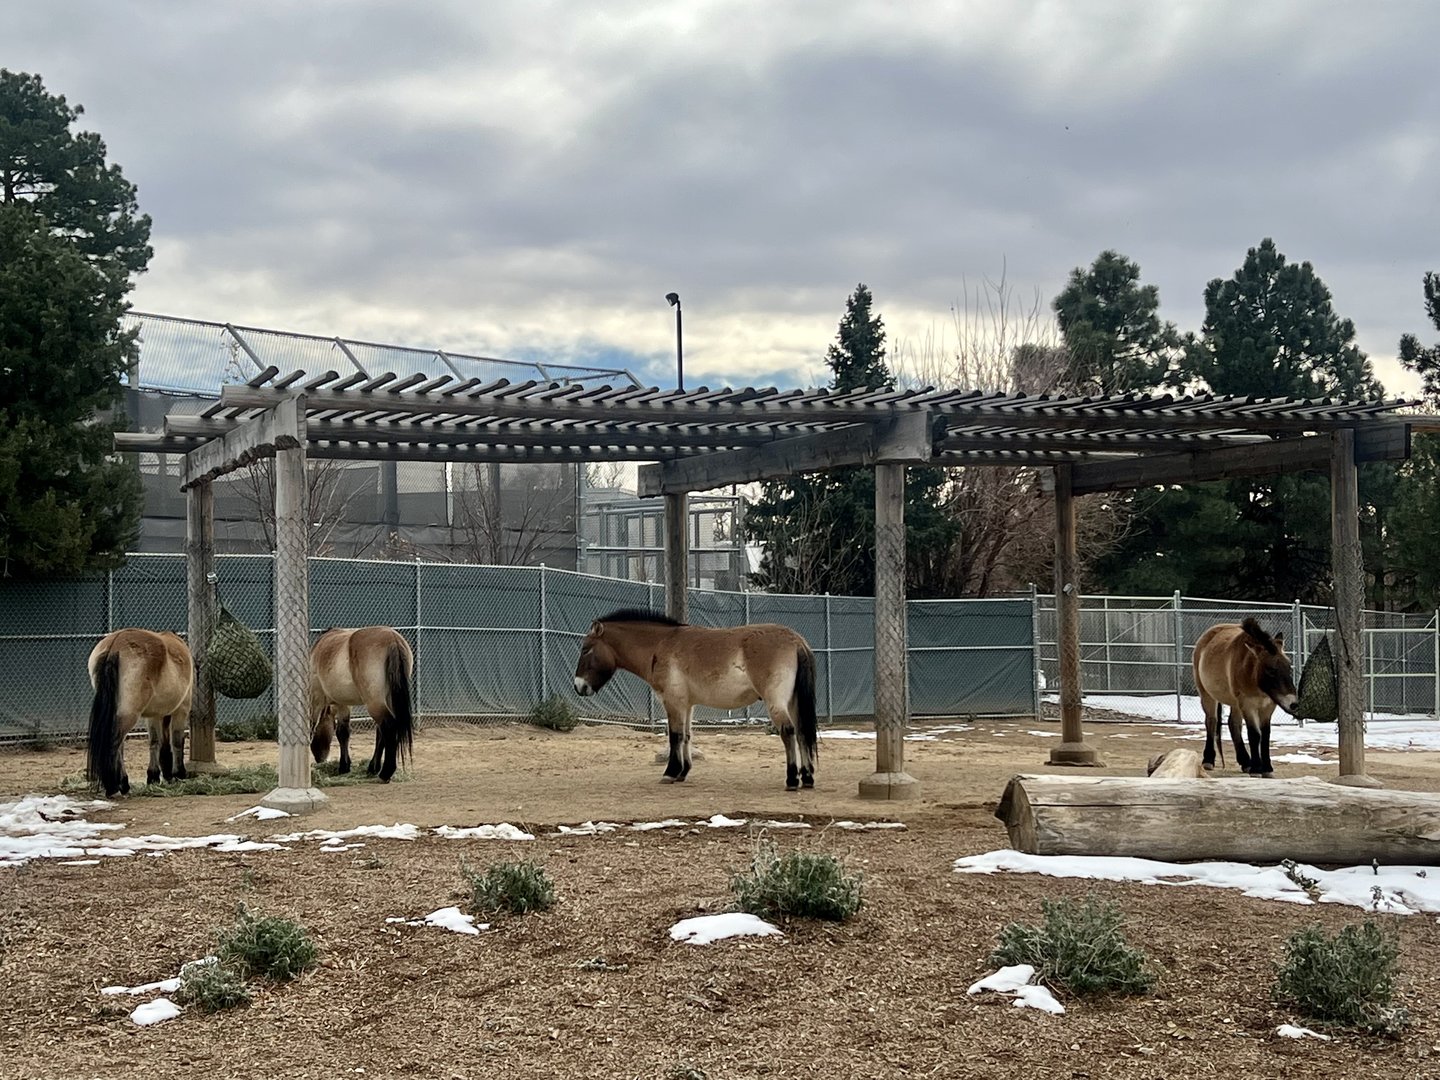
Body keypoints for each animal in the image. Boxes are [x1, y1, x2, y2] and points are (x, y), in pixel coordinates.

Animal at [86, 629, 195, 797]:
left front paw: (154, 776)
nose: (169, 776)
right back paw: (113, 786)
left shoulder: (155, 715)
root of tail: (114, 645)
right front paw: (179, 774)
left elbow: (156, 743)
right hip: (129, 715)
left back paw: (123, 783)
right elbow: (177, 742)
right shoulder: (181, 711)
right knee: (114, 743)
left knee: (119, 747)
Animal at [309, 626, 415, 782]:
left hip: (374, 703)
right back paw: (374, 768)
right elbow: (345, 733)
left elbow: (329, 730)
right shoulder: (344, 705)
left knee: (388, 727)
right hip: (387, 700)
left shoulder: (319, 699)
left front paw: (343, 766)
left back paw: (386, 772)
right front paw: (348, 766)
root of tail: (393, 639)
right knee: (381, 731)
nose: (319, 758)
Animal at [572, 609, 819, 790]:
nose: (578, 686)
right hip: (793, 702)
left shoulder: (673, 702)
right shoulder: (687, 704)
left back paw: (791, 780)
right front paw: (683, 772)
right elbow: (686, 736)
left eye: (586, 650)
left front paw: (670, 772)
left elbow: (675, 736)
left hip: (776, 702)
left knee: (788, 731)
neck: (660, 645)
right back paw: (807, 778)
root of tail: (796, 641)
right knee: (802, 733)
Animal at [1193, 617, 1298, 777]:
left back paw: (1245, 762)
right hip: (1207, 695)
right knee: (1211, 721)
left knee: (1233, 724)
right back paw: (1209, 760)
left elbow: (1265, 735)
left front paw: (1267, 768)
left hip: (1235, 703)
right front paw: (1256, 769)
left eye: (1289, 667)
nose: (1293, 704)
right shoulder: (1248, 705)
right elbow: (1255, 734)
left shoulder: (1268, 707)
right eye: (1270, 670)